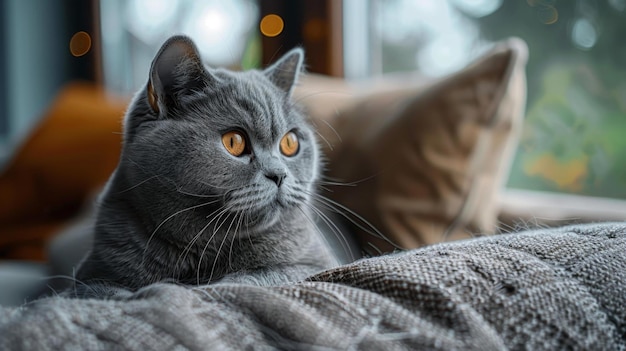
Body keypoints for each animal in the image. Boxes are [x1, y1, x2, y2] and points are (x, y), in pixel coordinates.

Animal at [77, 35, 346, 294]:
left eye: (290, 143)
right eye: (234, 142)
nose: (279, 175)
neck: (202, 251)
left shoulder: (315, 265)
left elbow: (256, 277)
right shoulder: (91, 273)